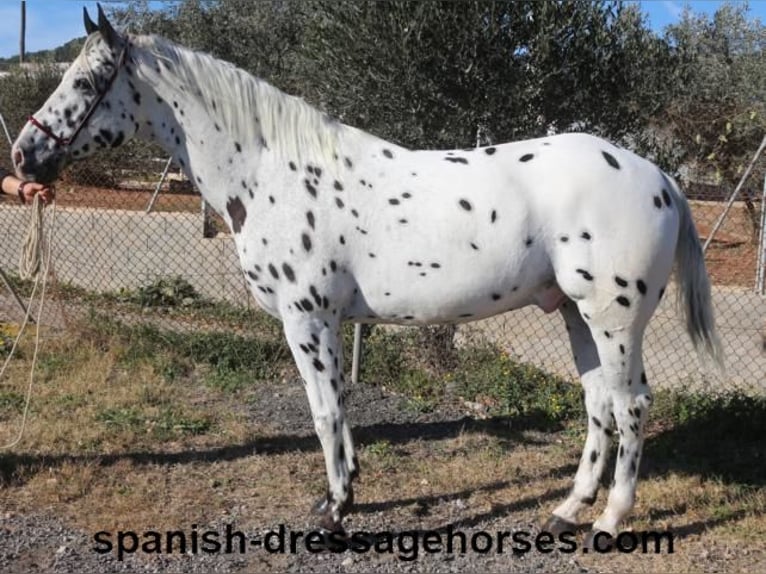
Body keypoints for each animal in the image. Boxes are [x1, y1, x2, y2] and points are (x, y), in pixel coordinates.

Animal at [12, 7, 728, 548]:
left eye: (87, 82)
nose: (24, 154)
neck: (271, 170)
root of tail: (660, 178)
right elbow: (336, 405)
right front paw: (342, 497)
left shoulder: (308, 318)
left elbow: (325, 409)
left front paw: (335, 510)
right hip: (577, 314)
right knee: (598, 402)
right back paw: (566, 511)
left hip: (613, 318)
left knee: (631, 405)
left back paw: (609, 521)